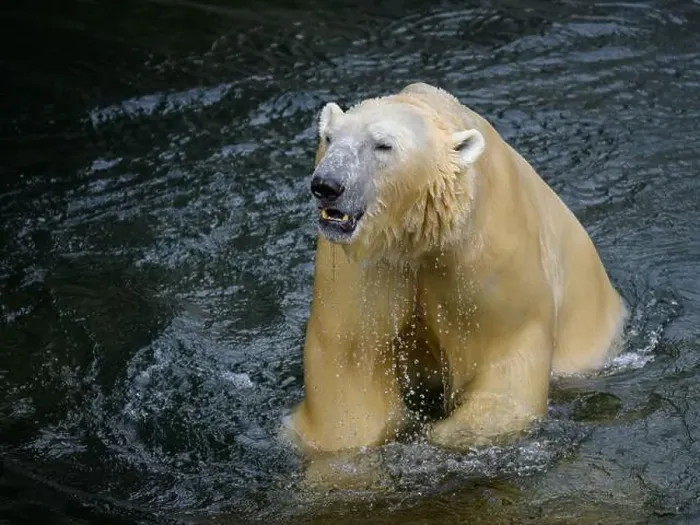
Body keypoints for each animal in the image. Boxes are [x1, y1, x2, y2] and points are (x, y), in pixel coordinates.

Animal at [284, 82, 627, 458]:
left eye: (383, 144)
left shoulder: (485, 246)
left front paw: (444, 436)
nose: (327, 185)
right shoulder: (367, 262)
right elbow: (350, 361)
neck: (419, 234)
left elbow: (506, 349)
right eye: (329, 138)